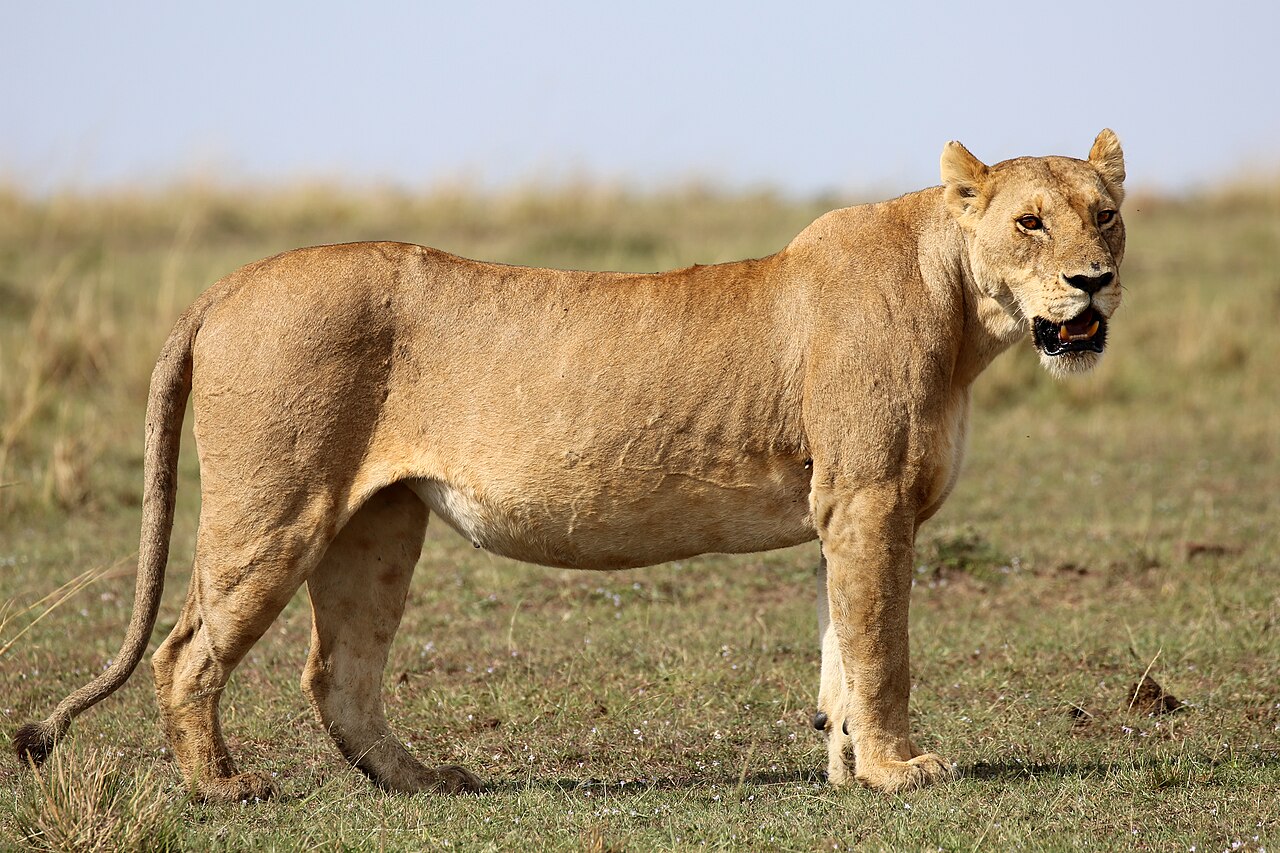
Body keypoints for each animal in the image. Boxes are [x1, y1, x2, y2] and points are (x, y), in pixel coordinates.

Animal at [15, 131, 1126, 800]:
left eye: (1104, 212)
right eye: (1029, 220)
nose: (1094, 281)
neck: (966, 312)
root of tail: (232, 281)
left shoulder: (843, 506)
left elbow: (840, 649)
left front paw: (847, 768)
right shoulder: (869, 496)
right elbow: (881, 645)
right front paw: (901, 771)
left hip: (375, 524)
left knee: (339, 669)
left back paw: (425, 781)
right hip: (274, 508)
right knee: (186, 652)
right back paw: (225, 787)